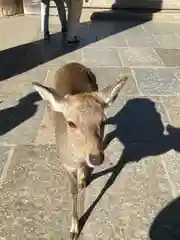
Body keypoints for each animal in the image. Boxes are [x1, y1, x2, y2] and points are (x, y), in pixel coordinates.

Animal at [32, 62, 128, 238]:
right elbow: (73, 191)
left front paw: (84, 180)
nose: (97, 157)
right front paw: (74, 229)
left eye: (102, 121)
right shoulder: (66, 166)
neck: (77, 158)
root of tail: (73, 63)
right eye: (71, 123)